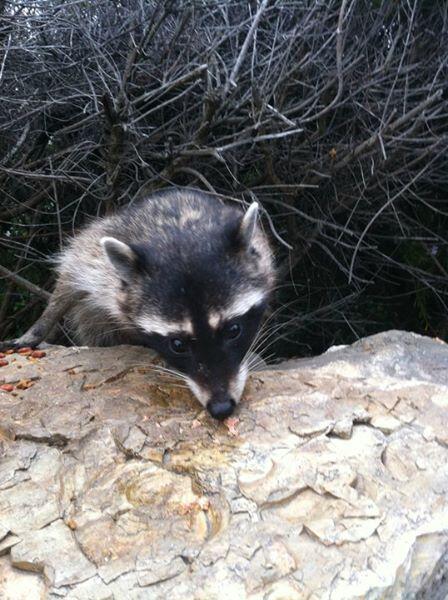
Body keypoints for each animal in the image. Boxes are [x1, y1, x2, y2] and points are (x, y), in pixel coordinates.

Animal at [1, 189, 275, 419]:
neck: (179, 229)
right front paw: (39, 327)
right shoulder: (95, 258)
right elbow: (68, 280)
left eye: (234, 330)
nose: (221, 408)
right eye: (177, 344)